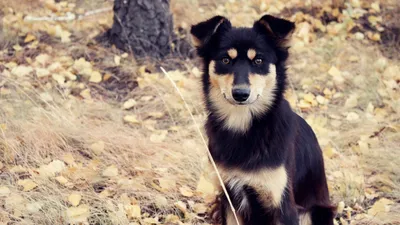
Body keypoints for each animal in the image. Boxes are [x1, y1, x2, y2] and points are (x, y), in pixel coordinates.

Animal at [190, 14, 334, 225]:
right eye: (225, 60)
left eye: (258, 60)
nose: (240, 94)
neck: (244, 126)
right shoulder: (229, 199)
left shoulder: (283, 205)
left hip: (314, 212)